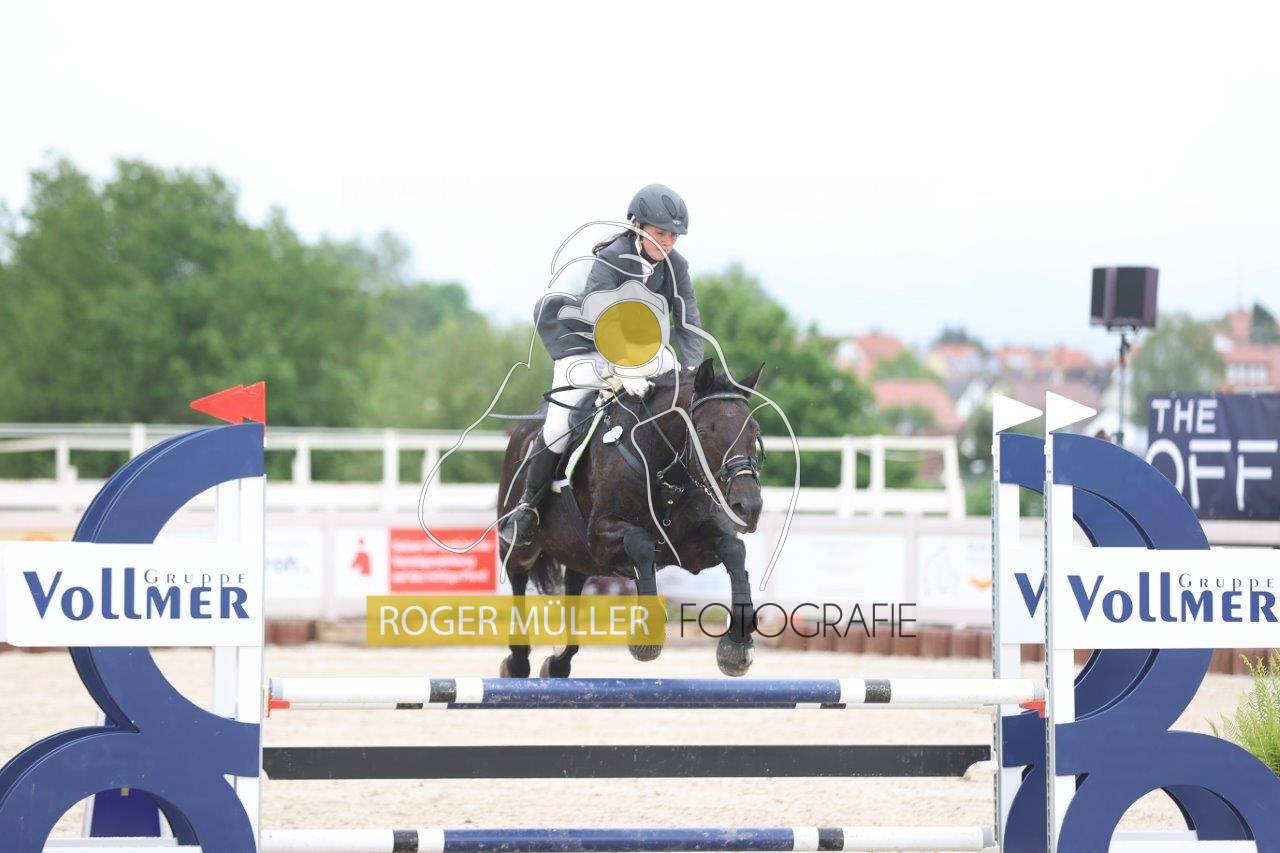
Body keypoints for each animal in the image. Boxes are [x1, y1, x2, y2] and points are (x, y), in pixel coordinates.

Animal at [496, 358, 766, 678]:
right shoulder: (602, 535)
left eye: (754, 432)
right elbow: (641, 544)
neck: (663, 473)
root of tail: (524, 427)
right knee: (518, 576)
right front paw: (647, 636)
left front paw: (737, 646)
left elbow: (734, 550)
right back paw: (517, 660)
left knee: (573, 585)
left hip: (579, 554)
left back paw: (559, 662)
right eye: (703, 432)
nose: (748, 507)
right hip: (523, 544)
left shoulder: (692, 550)